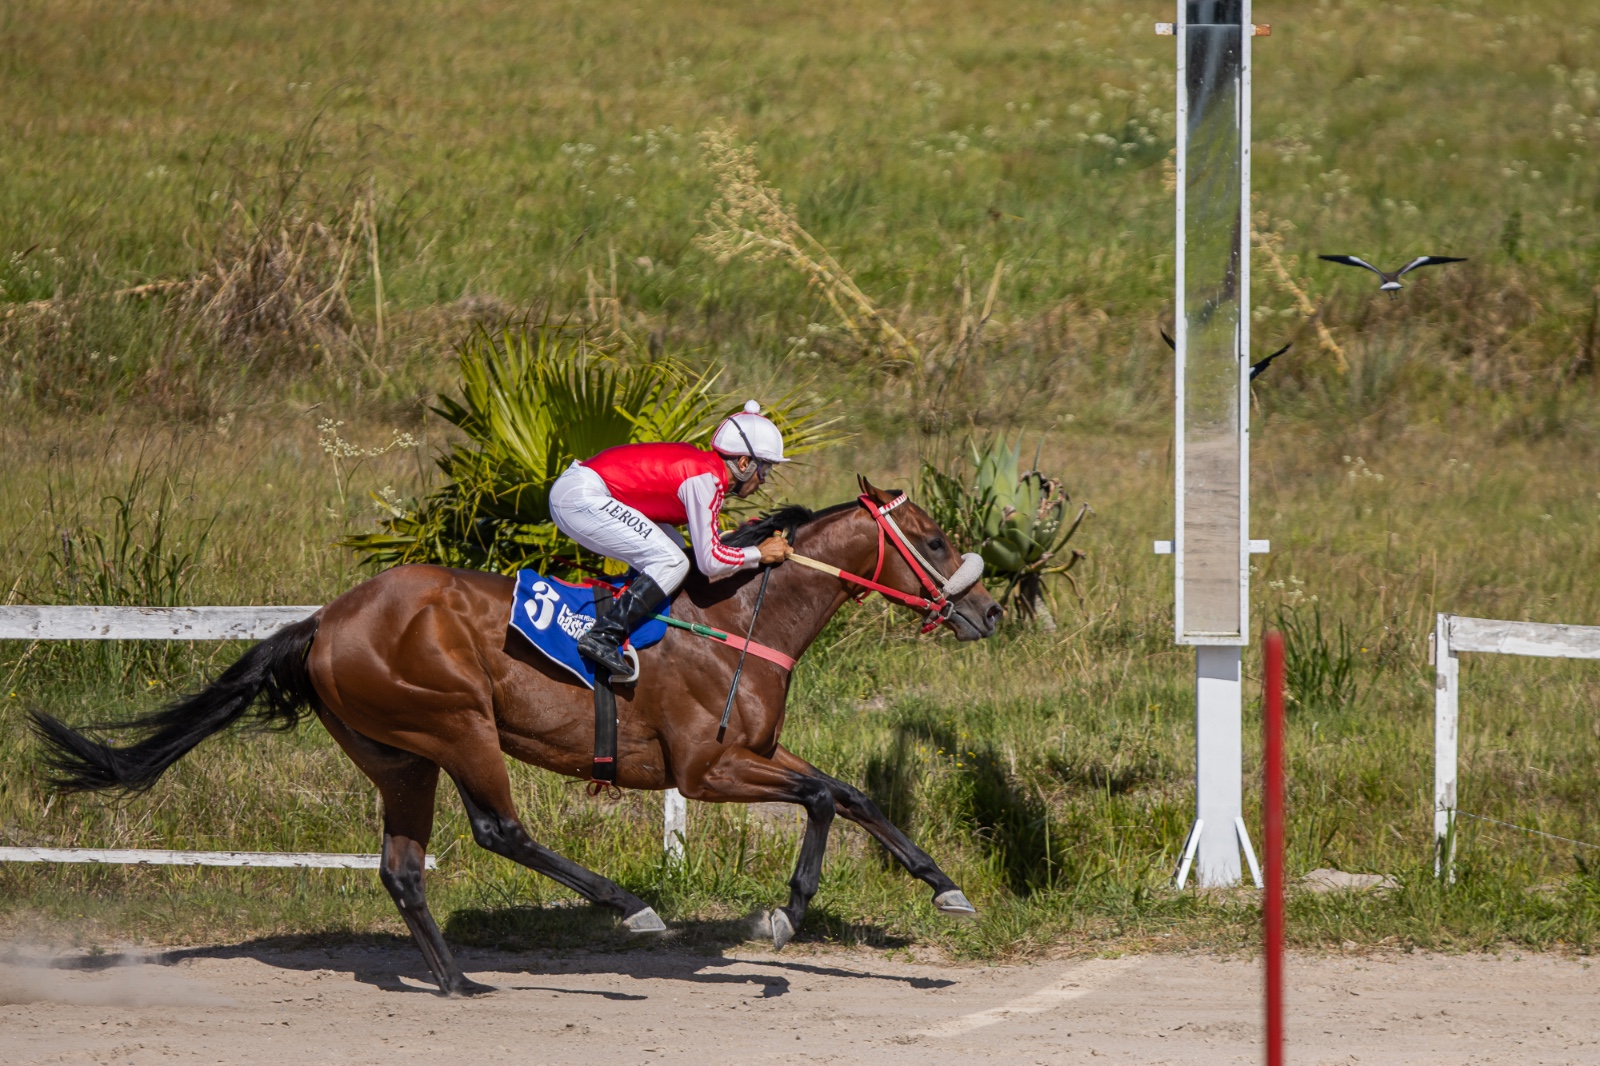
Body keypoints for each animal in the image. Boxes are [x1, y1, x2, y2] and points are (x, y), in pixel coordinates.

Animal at [31, 478, 1002, 996]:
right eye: (934, 538)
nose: (989, 611)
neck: (738, 615)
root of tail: (322, 621)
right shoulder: (707, 765)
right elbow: (821, 797)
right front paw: (784, 917)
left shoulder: (749, 753)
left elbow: (851, 792)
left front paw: (941, 889)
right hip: (456, 722)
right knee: (500, 829)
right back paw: (628, 906)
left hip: (398, 753)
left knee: (402, 867)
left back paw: (456, 980)